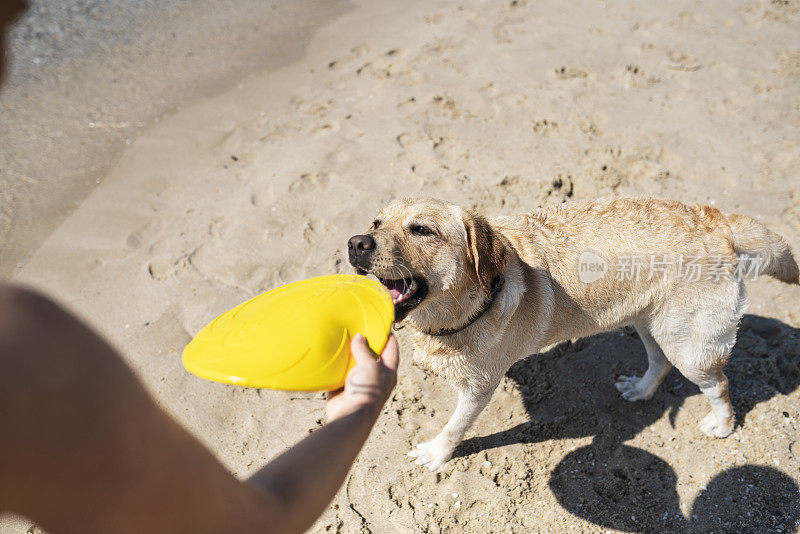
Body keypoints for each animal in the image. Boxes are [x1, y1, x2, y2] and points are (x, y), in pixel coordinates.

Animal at [346, 198, 796, 474]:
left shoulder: (479, 387)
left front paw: (436, 454)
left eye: (421, 230)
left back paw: (722, 424)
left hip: (691, 344)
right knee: (659, 362)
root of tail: (717, 220)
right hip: (650, 322)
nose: (355, 242)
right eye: (376, 222)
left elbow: (456, 426)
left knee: (718, 383)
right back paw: (640, 389)